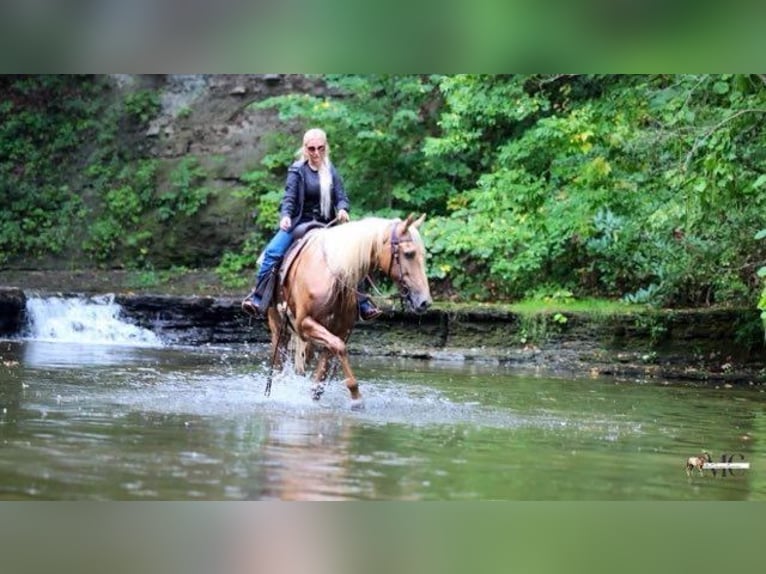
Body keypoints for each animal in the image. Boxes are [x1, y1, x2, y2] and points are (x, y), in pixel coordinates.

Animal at [265, 213, 431, 405]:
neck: (331, 276)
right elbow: (339, 347)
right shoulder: (304, 324)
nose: (424, 301)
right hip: (279, 328)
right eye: (409, 254)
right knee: (278, 362)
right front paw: (356, 395)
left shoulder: (340, 331)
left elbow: (320, 379)